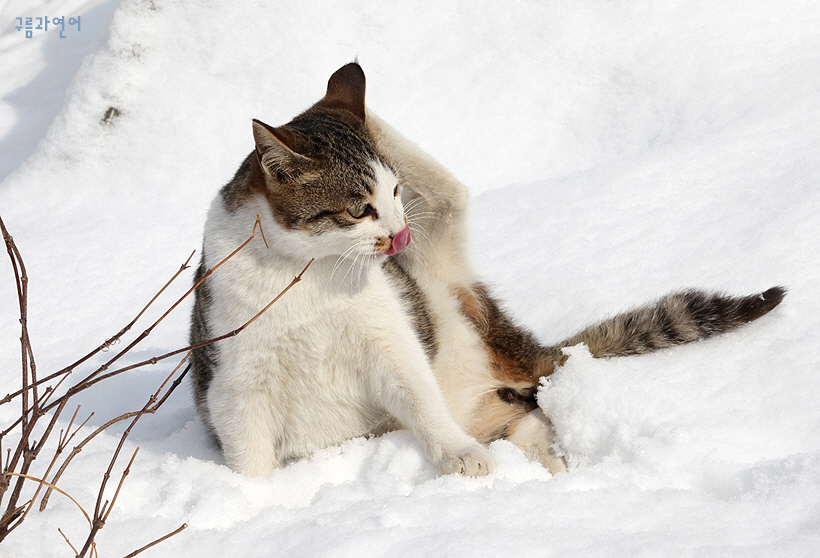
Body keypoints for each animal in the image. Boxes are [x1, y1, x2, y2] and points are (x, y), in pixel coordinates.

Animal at [189, 62, 784, 482]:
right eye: (360, 209)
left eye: (394, 193)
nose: (399, 234)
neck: (310, 273)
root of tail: (513, 349)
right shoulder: (233, 383)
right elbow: (249, 459)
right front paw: (253, 506)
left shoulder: (390, 338)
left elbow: (418, 396)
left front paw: (457, 456)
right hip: (499, 403)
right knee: (531, 425)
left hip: (439, 249)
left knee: (449, 189)